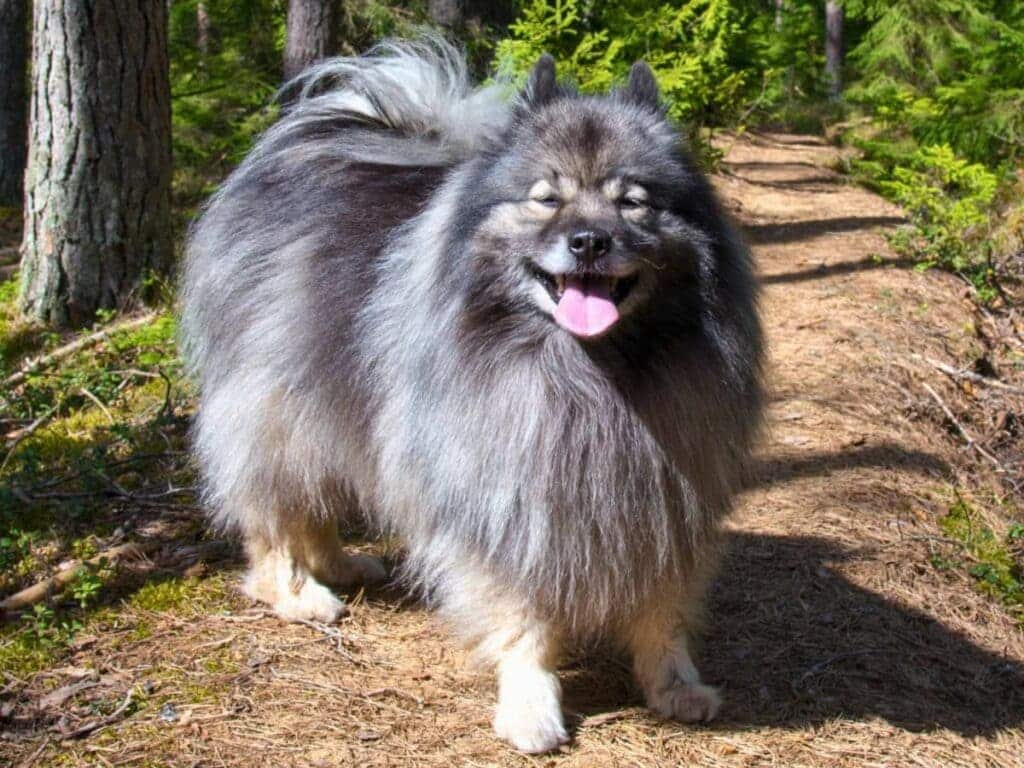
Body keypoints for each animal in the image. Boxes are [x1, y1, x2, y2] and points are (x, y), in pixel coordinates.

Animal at [180, 39, 765, 753]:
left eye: (633, 202)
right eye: (546, 199)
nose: (589, 242)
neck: (593, 372)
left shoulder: (666, 497)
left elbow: (664, 608)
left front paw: (675, 686)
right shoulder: (506, 498)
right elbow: (522, 619)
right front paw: (531, 707)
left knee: (316, 503)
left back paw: (343, 565)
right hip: (279, 410)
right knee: (275, 513)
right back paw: (298, 592)